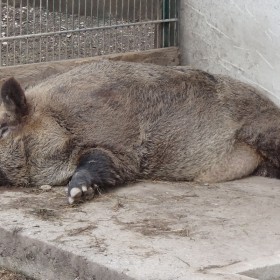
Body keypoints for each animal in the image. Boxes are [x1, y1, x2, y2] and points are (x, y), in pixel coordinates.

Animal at [0, 60, 278, 202]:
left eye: (3, 129)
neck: (60, 120)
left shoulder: (121, 149)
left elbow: (98, 161)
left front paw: (76, 194)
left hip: (262, 131)